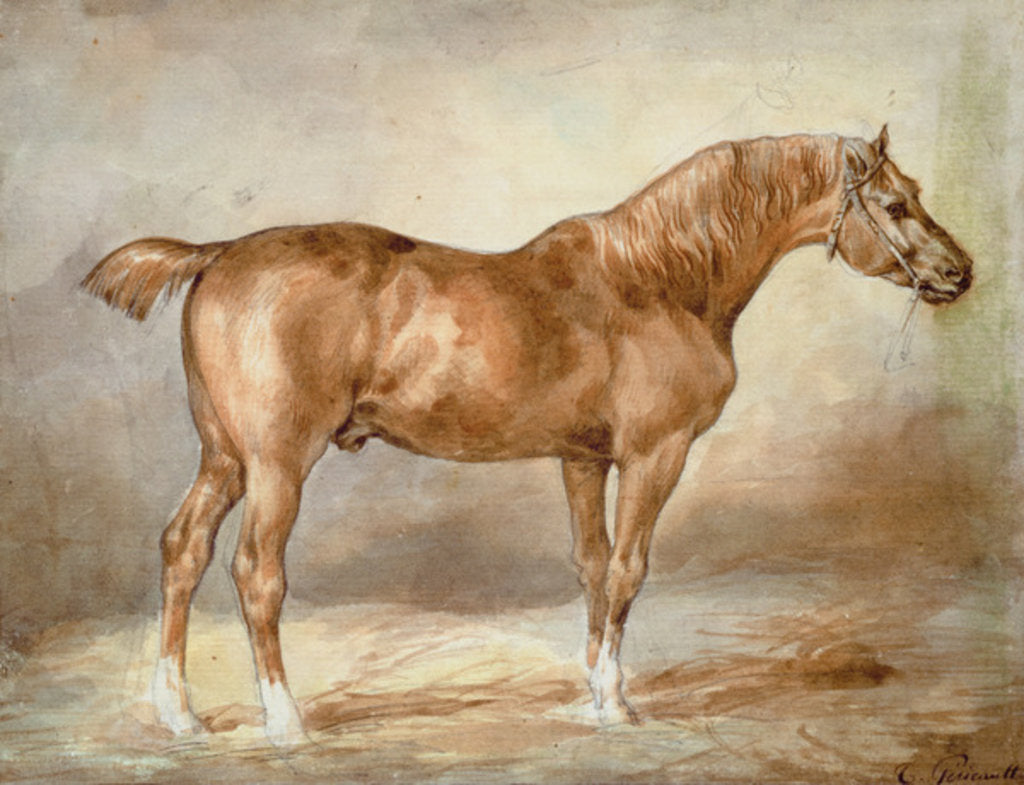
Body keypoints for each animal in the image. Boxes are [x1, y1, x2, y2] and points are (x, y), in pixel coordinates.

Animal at [82, 127, 972, 746]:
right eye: (895, 205)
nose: (959, 273)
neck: (659, 281)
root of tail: (219, 253)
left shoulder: (582, 460)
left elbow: (592, 568)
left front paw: (594, 691)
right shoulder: (654, 455)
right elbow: (628, 569)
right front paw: (616, 703)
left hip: (224, 458)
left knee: (183, 550)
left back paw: (180, 714)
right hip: (277, 464)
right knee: (255, 573)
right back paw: (285, 720)